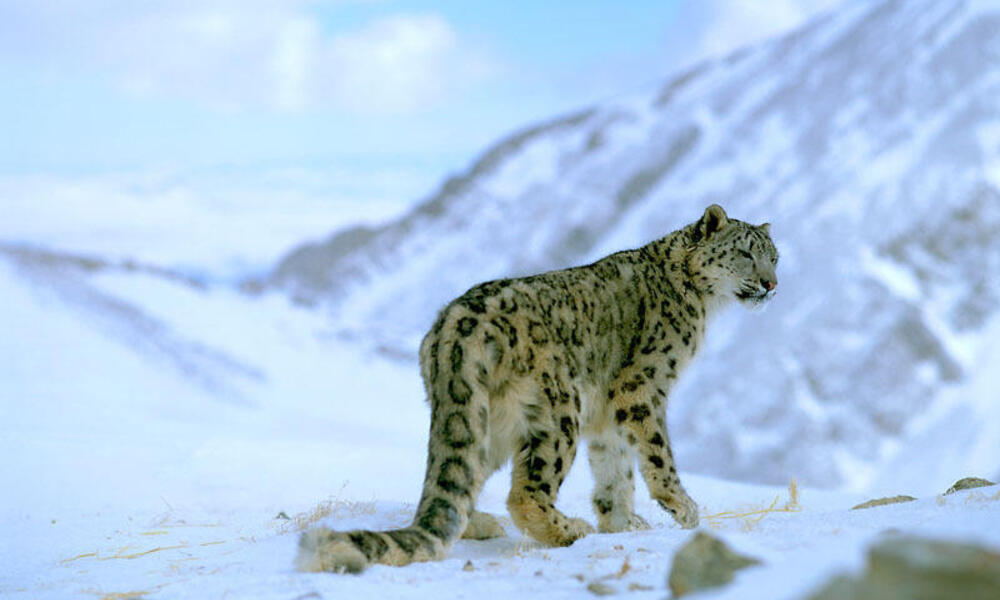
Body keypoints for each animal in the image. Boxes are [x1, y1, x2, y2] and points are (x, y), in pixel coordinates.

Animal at [296, 205, 780, 572]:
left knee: (461, 479)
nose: (771, 284)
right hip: (558, 411)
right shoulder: (643, 388)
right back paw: (568, 529)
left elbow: (615, 467)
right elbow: (657, 454)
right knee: (526, 492)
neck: (701, 304)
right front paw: (684, 509)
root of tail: (454, 328)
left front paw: (623, 522)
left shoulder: (606, 412)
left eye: (774, 257)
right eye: (744, 253)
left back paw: (482, 523)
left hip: (486, 420)